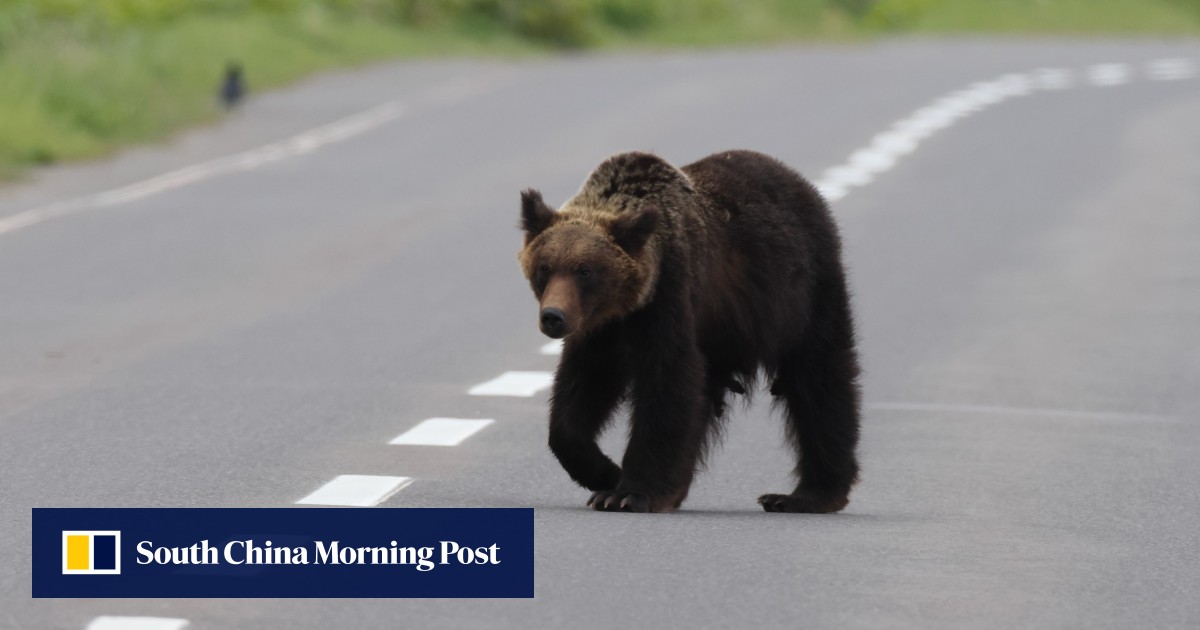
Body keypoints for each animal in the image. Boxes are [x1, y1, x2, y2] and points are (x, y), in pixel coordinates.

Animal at [518, 150, 860, 513]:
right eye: (544, 267)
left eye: (585, 270)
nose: (553, 317)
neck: (626, 307)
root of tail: (799, 181)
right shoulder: (600, 332)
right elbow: (580, 393)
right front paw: (605, 474)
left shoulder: (670, 299)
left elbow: (667, 386)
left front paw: (628, 492)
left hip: (803, 295)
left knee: (820, 381)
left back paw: (805, 494)